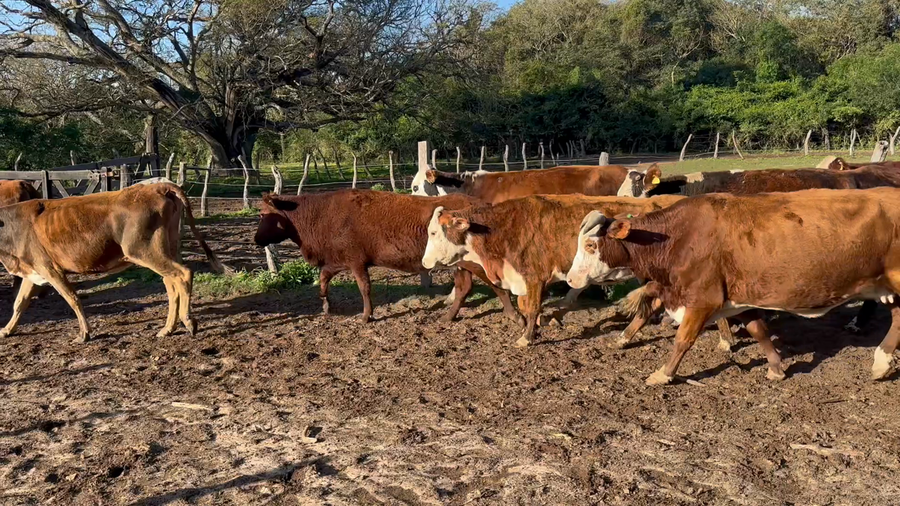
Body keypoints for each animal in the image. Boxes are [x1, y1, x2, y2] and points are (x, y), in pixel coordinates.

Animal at [0, 183, 222, 343]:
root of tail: (159, 187)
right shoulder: (33, 271)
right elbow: (19, 303)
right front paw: (6, 330)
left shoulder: (51, 269)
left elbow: (72, 298)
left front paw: (84, 334)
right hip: (168, 248)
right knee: (171, 282)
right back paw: (168, 328)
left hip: (144, 251)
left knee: (183, 274)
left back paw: (188, 321)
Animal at [252, 190, 521, 324]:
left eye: (263, 214)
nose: (255, 239)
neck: (322, 213)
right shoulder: (337, 260)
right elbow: (323, 279)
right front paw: (327, 306)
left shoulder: (356, 261)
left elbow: (364, 288)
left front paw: (365, 316)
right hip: (462, 264)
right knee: (466, 287)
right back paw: (449, 316)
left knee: (488, 284)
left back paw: (511, 314)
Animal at [420, 194, 710, 348]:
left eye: (434, 232)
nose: (424, 263)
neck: (505, 228)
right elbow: (526, 307)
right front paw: (533, 327)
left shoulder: (534, 276)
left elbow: (533, 307)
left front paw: (527, 337)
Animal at [566, 187, 900, 385]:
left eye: (591, 245)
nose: (570, 279)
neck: (680, 236)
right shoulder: (737, 297)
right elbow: (758, 329)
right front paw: (776, 367)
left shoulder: (703, 299)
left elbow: (683, 340)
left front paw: (664, 373)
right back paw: (882, 362)